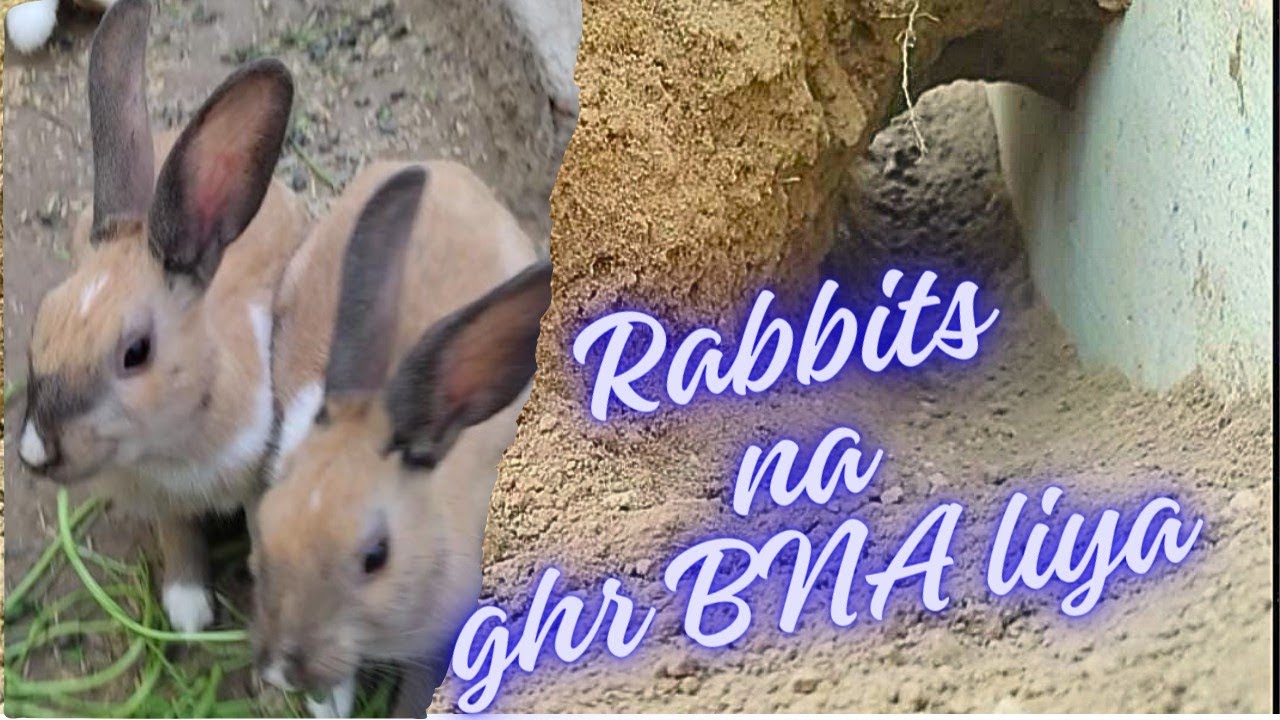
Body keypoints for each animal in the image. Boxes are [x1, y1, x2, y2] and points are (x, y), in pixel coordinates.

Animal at [15, 0, 306, 633]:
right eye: (40, 323)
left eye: (136, 353)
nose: (36, 452)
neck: (169, 448)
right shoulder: (163, 507)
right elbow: (179, 540)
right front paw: (189, 610)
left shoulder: (259, 478)